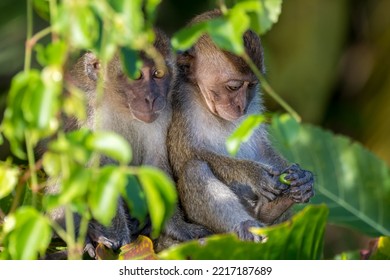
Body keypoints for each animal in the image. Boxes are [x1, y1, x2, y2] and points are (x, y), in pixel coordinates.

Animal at [42, 29, 210, 258]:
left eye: (158, 73)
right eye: (137, 75)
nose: (151, 98)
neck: (120, 106)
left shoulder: (164, 113)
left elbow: (155, 164)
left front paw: (178, 227)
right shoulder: (91, 113)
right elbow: (100, 166)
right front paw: (118, 236)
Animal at [166, 9, 316, 242]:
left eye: (252, 85)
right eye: (233, 86)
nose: (241, 106)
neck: (201, 97)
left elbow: (261, 148)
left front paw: (302, 177)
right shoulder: (178, 101)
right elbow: (183, 156)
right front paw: (253, 173)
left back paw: (273, 208)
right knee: (194, 169)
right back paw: (246, 225)